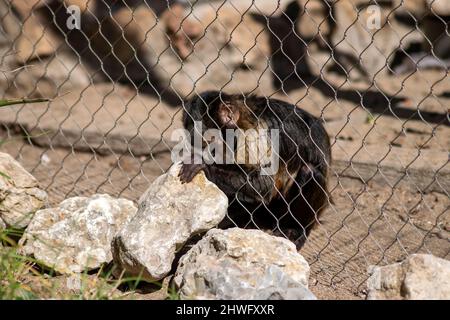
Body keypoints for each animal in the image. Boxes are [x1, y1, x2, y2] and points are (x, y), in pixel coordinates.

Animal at [178, 90, 330, 248]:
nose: (209, 153)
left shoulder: (253, 133)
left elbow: (264, 185)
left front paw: (202, 164)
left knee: (310, 171)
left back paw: (294, 230)